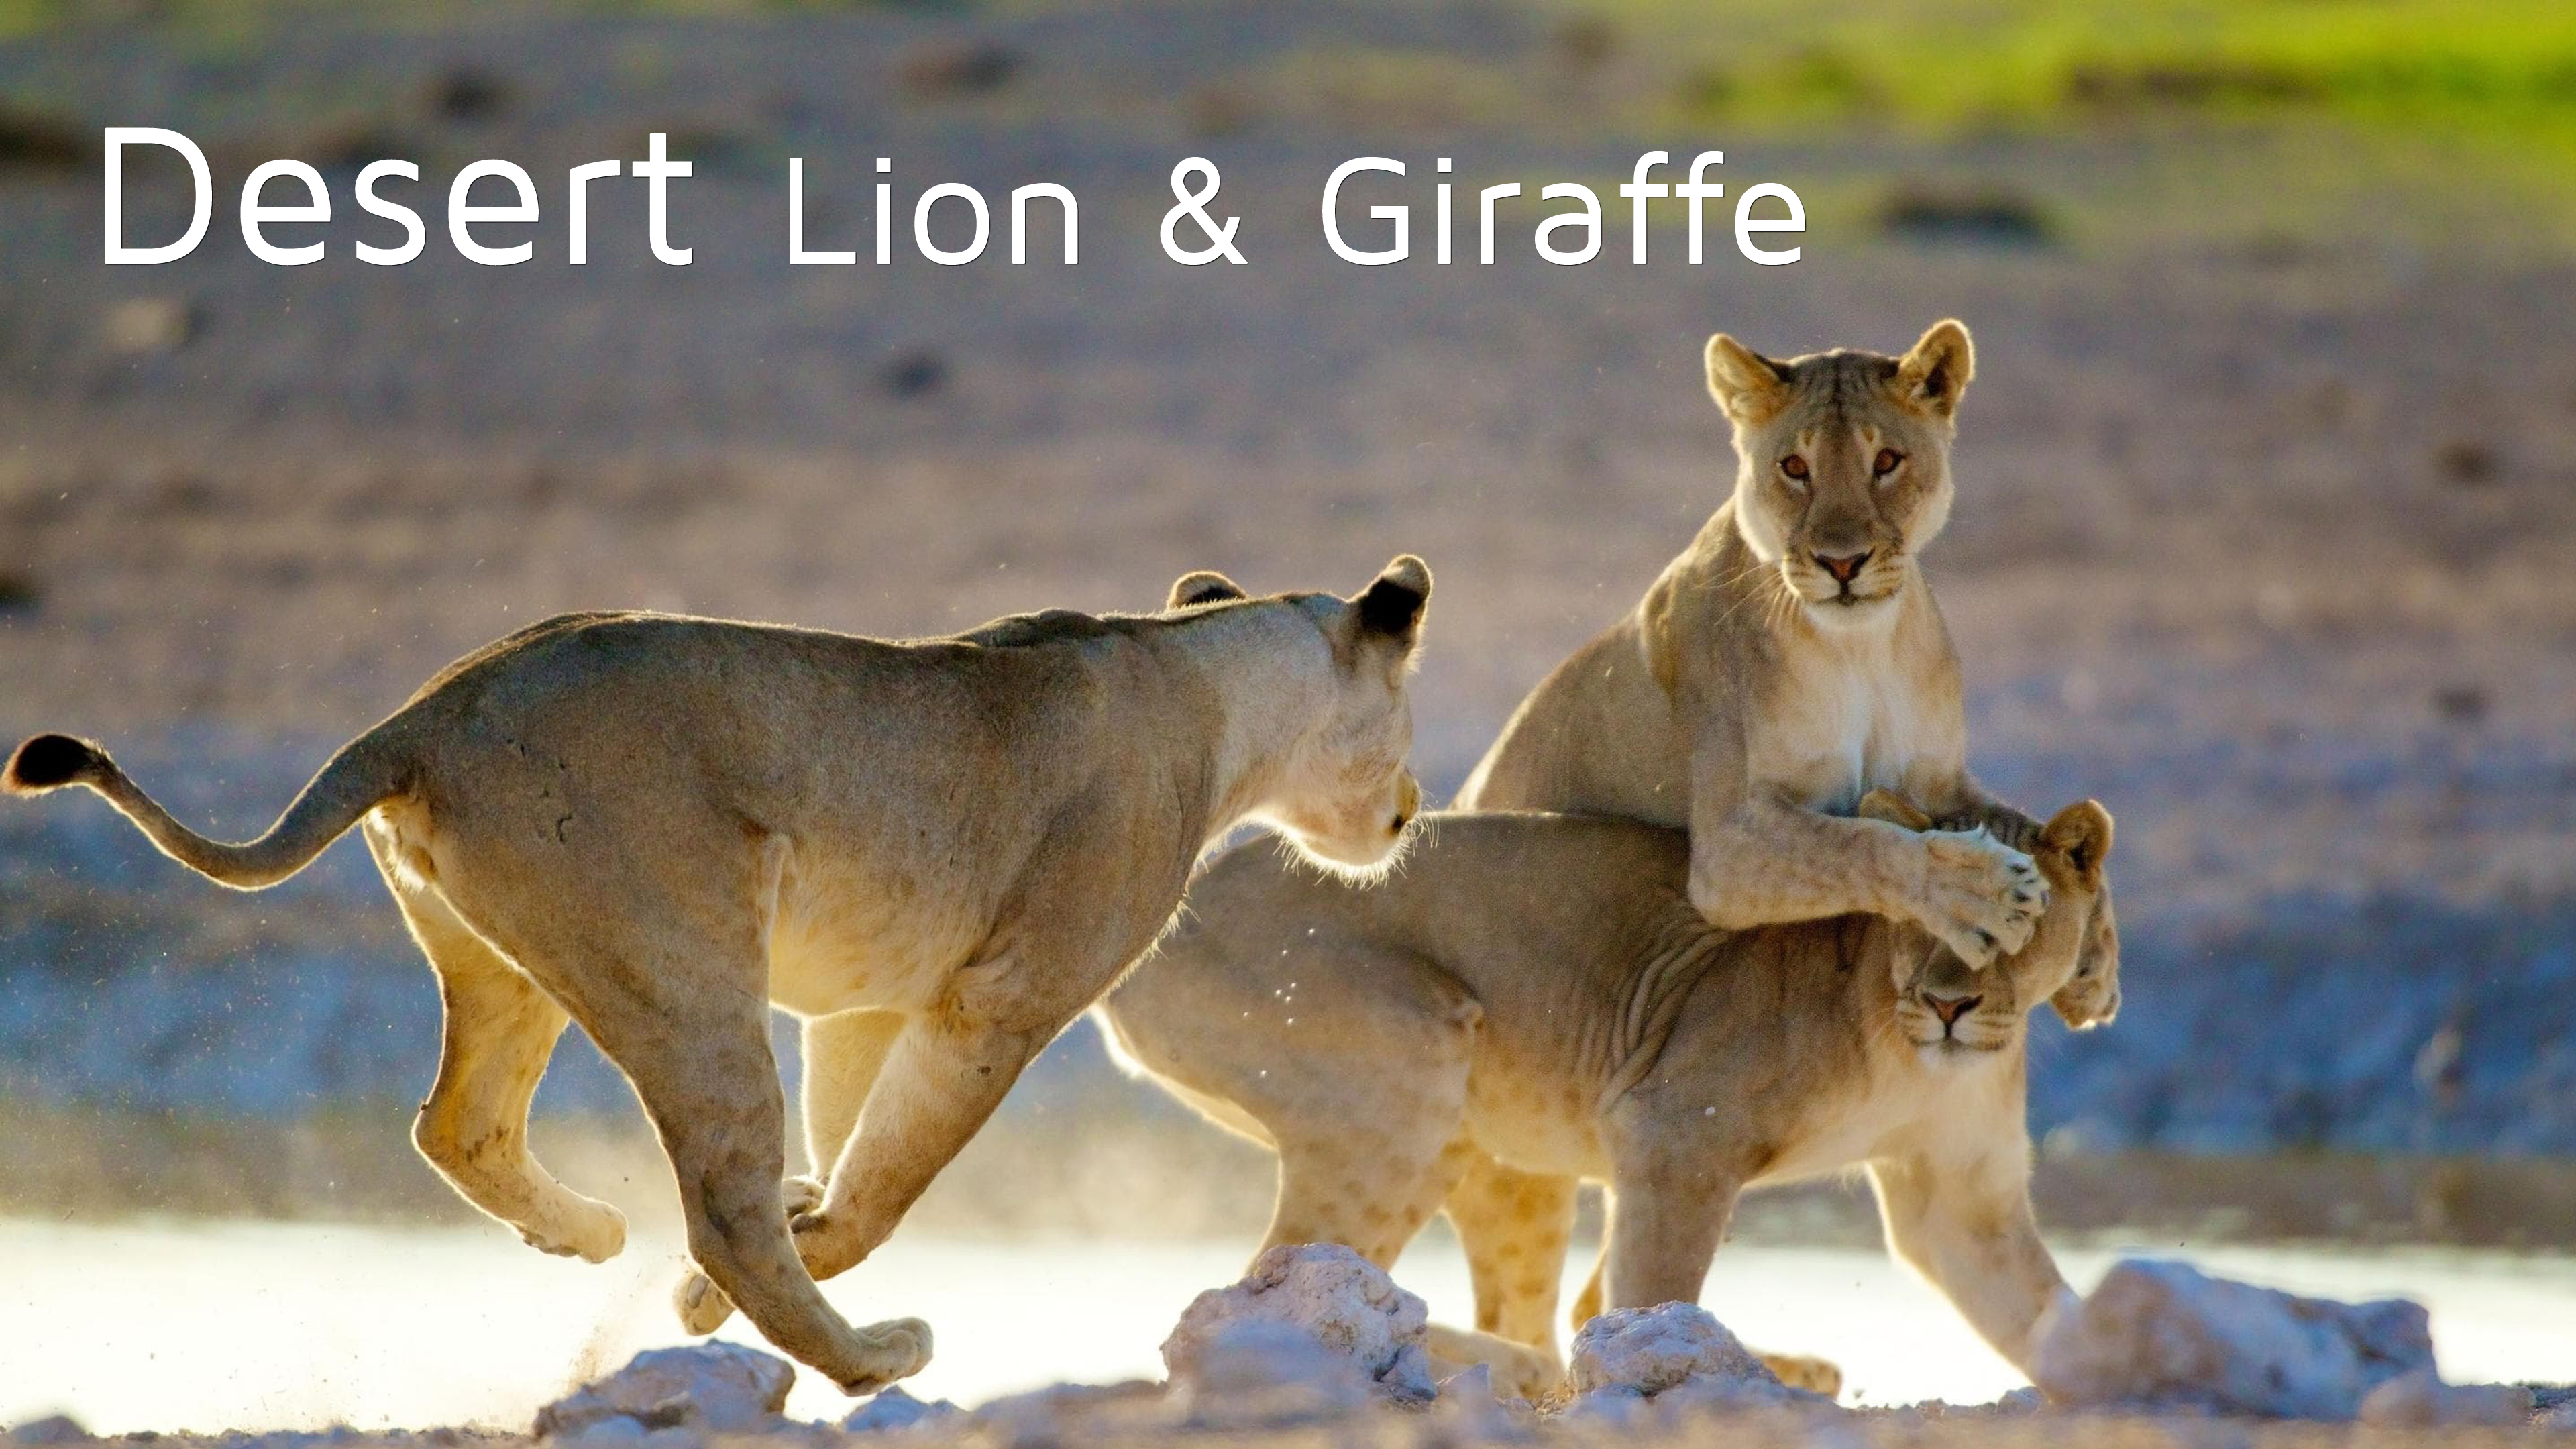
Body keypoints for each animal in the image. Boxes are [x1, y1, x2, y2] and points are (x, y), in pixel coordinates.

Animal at [2, 557, 1433, 1395]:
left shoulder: (875, 999)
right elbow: (890, 1181)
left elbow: (856, 1141)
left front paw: (810, 1208)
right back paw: (860, 1353)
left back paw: (588, 1234)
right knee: (718, 1208)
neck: (1209, 683)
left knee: (455, 1124)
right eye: (1409, 727)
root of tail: (424, 712)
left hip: (512, 962)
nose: (1417, 811)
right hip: (687, 968)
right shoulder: (1005, 995)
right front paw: (795, 1249)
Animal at [1097, 788, 2117, 1400]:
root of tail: (1179, 891)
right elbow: (1656, 1284)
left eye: (2025, 927)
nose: (1950, 1004)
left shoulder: (1960, 1196)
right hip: (1408, 1068)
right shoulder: (1675, 1131)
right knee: (1249, 1298)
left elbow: (2039, 1309)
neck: (1912, 1051)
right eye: (1926, 918)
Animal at [1457, 320, 2050, 976]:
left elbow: (2019, 822)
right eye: (1794, 467)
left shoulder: (1944, 782)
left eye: (1887, 461)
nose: (1842, 563)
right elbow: (1856, 844)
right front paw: (1982, 891)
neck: (1861, 649)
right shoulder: (1730, 843)